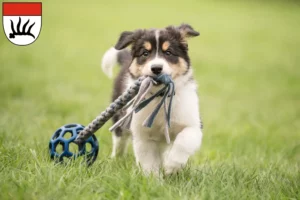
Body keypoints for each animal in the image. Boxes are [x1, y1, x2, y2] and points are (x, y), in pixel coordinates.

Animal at [102, 24, 203, 176]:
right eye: (145, 53)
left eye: (168, 52)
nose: (156, 68)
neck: (159, 96)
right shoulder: (141, 134)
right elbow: (149, 162)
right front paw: (153, 179)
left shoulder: (193, 125)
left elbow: (184, 141)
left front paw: (171, 166)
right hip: (120, 118)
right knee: (119, 141)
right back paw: (116, 159)